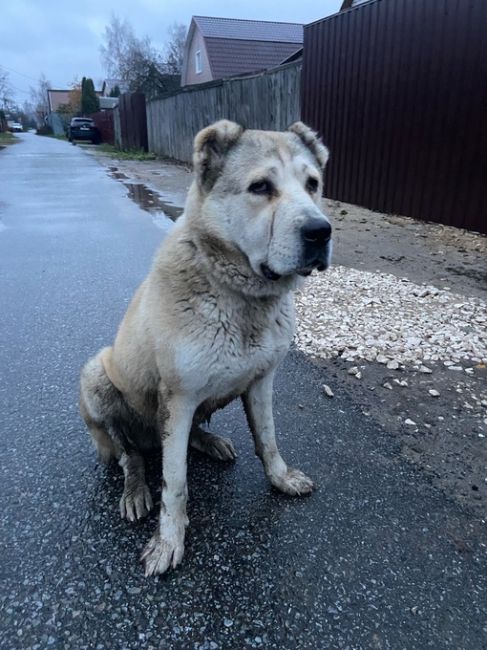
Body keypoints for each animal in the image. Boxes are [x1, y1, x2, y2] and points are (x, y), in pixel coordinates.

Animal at [80, 119, 332, 576]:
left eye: (312, 184)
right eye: (261, 187)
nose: (320, 231)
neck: (240, 296)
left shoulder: (260, 382)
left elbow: (268, 439)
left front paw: (280, 478)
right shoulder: (177, 400)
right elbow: (175, 481)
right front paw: (169, 540)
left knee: (181, 438)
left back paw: (209, 442)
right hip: (96, 376)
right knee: (130, 454)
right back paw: (135, 488)